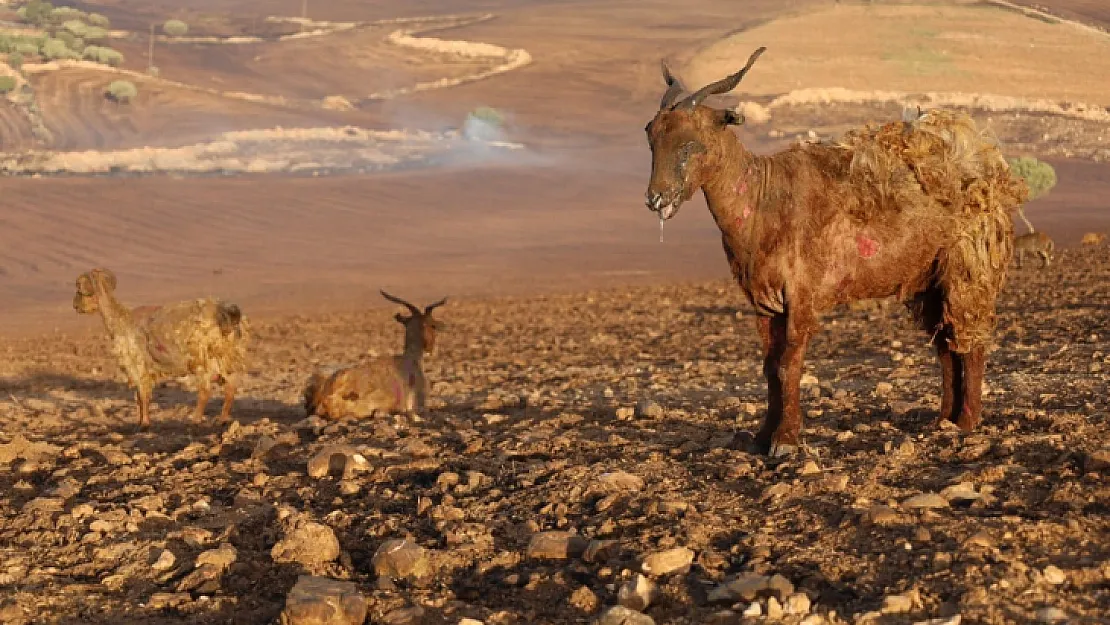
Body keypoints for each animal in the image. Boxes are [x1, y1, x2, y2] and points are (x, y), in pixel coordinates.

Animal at [73, 266, 249, 428]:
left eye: (80, 289)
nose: (75, 306)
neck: (121, 319)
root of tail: (227, 314)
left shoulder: (137, 364)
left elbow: (142, 395)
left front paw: (144, 423)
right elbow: (141, 396)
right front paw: (141, 421)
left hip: (202, 358)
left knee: (205, 390)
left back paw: (195, 419)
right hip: (225, 357)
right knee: (230, 388)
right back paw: (222, 419)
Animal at [643, 47, 1030, 455]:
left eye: (691, 143)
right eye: (650, 136)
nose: (656, 198)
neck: (764, 200)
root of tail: (989, 168)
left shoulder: (802, 295)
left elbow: (788, 365)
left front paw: (785, 441)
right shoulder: (764, 302)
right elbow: (769, 368)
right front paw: (762, 437)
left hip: (969, 270)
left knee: (971, 342)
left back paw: (968, 423)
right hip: (929, 281)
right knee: (946, 345)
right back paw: (944, 421)